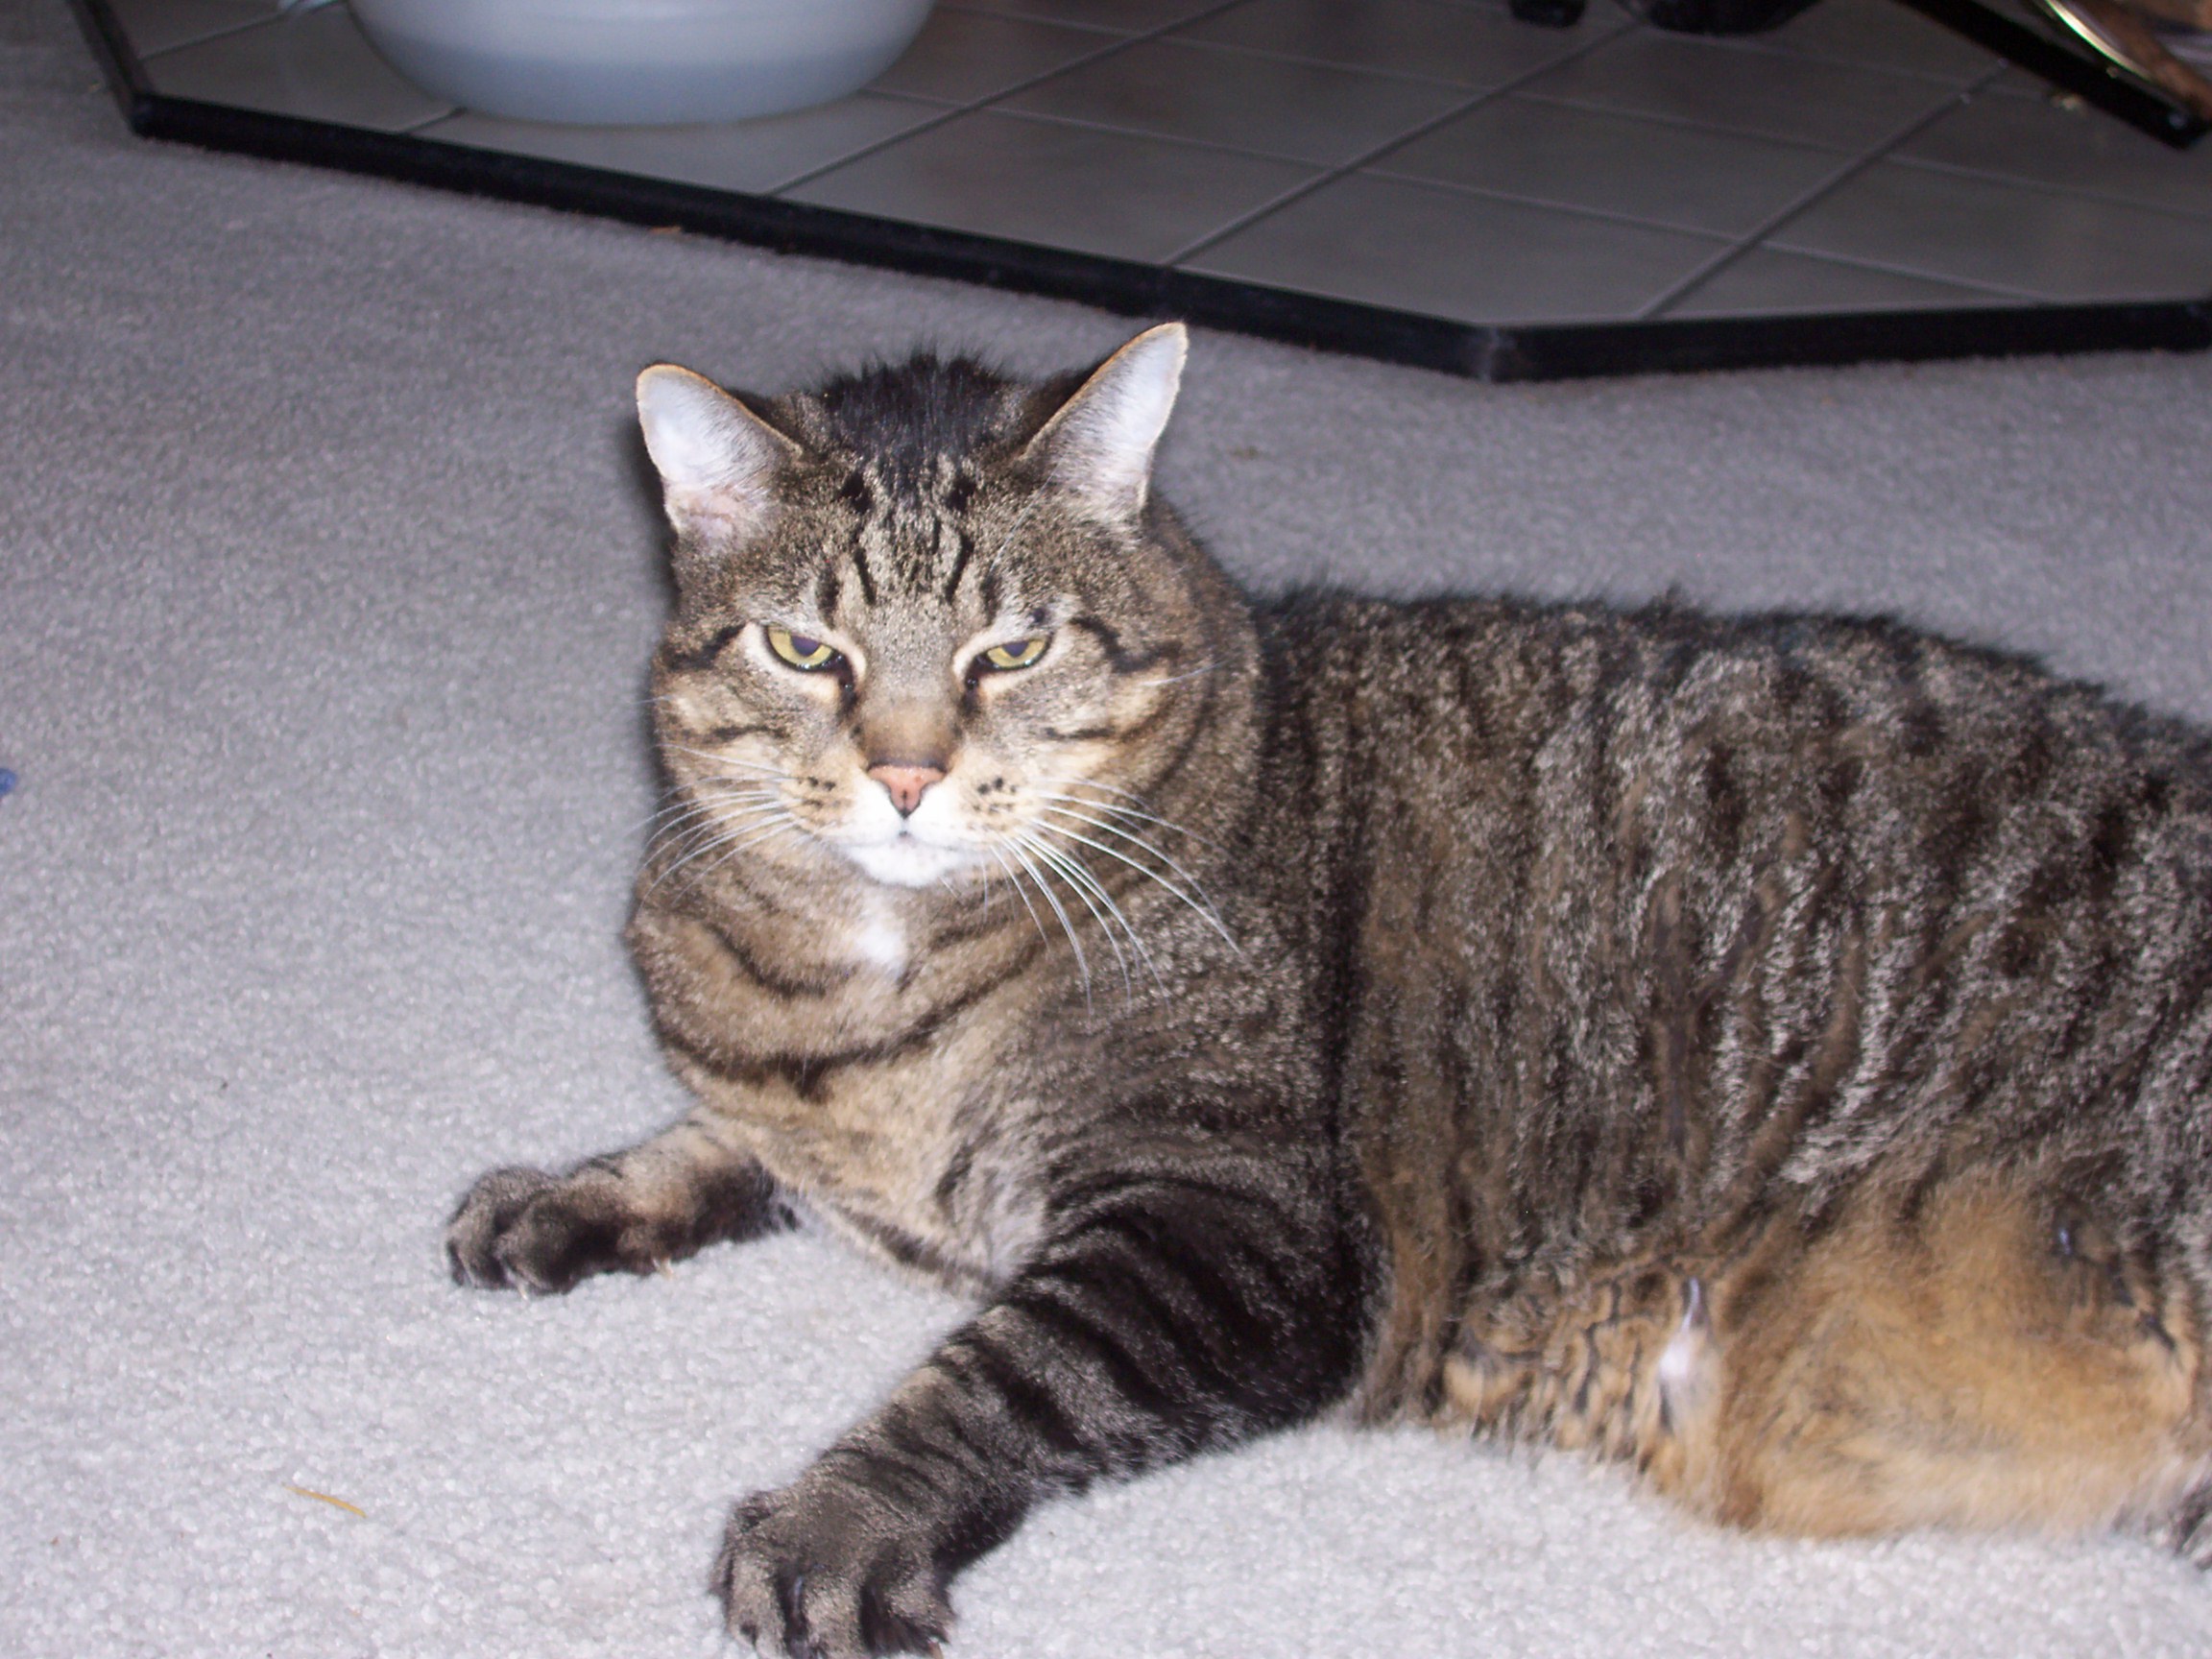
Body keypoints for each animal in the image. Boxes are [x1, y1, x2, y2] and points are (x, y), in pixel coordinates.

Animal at [445, 326, 2212, 1659]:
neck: (878, 964)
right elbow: (717, 1135)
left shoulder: (1228, 1228)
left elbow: (991, 1378)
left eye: (1010, 652)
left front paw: (835, 1522)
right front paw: (570, 1194)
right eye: (808, 652)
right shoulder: (818, 1121)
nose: (900, 773)